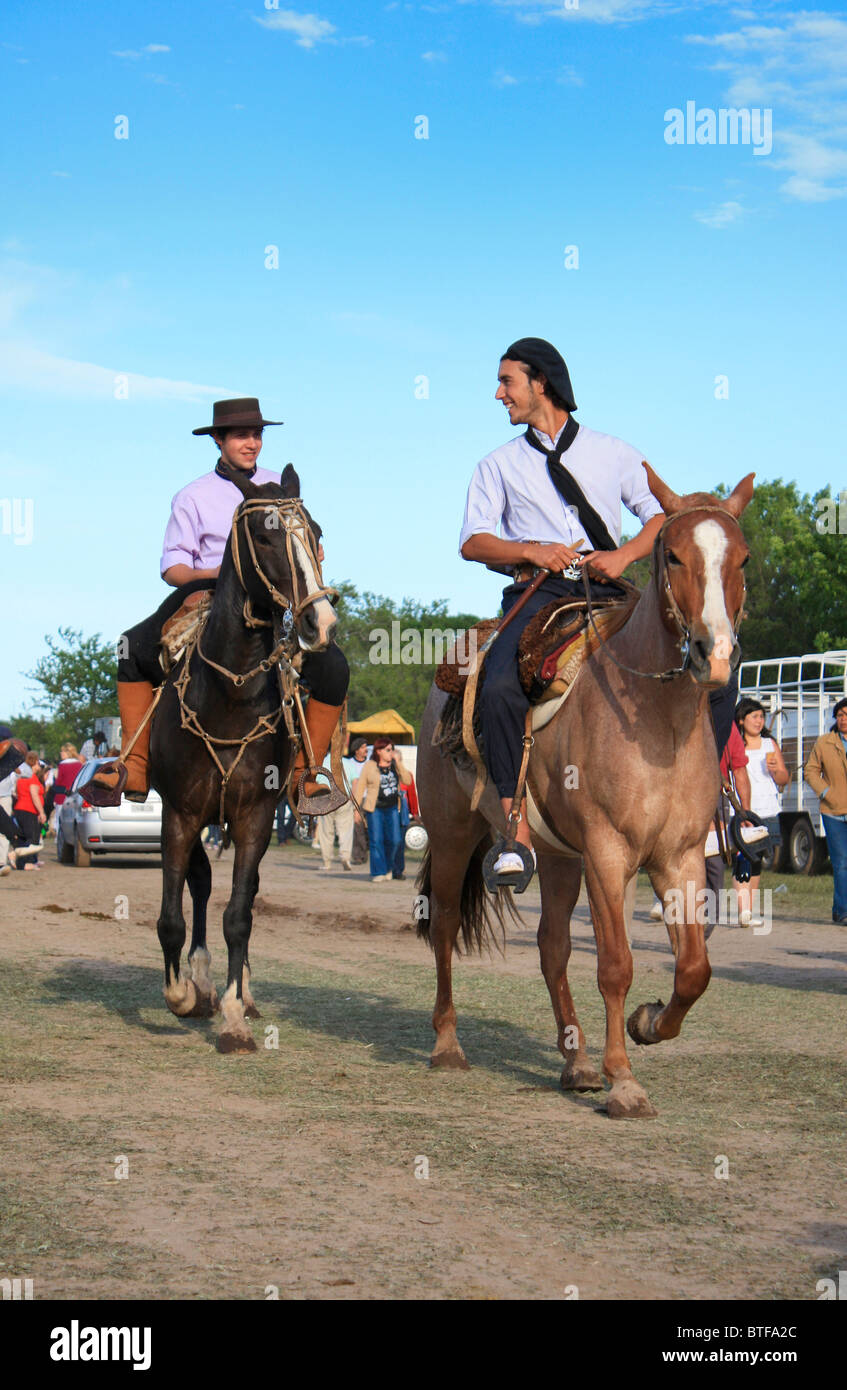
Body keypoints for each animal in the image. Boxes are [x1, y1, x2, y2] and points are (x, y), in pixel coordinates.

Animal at [150, 467, 335, 1050]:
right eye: (265, 537)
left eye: (316, 533)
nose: (320, 622)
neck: (229, 695)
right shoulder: (179, 814)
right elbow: (173, 915)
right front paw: (184, 995)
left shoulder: (255, 815)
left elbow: (239, 914)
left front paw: (233, 1014)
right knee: (200, 884)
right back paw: (201, 980)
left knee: (241, 896)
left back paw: (239, 993)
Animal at [417, 467, 751, 1117]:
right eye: (674, 555)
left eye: (742, 558)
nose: (715, 655)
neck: (658, 719)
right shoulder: (607, 851)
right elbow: (615, 964)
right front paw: (624, 1080)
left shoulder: (678, 857)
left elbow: (694, 968)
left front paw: (648, 1024)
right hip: (452, 835)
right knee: (444, 926)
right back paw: (447, 1044)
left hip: (555, 854)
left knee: (552, 945)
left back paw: (576, 1063)